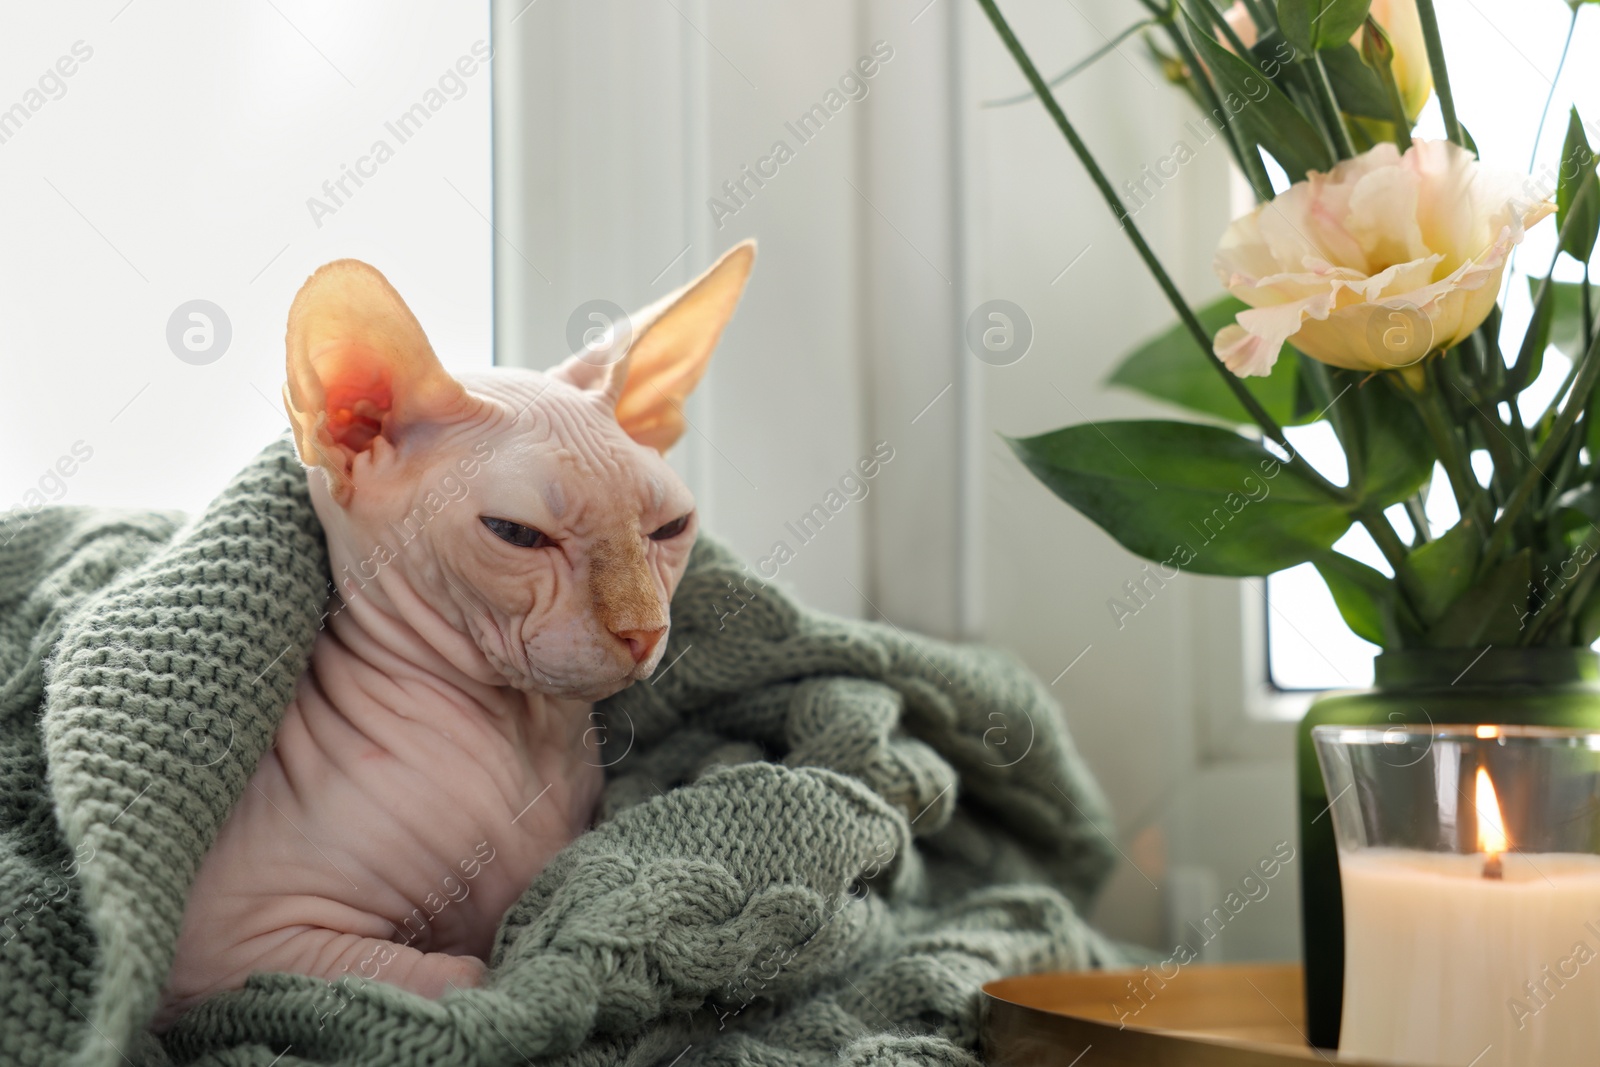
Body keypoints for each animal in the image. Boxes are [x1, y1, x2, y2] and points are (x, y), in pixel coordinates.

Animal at [159, 239, 758, 1023]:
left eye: (671, 528)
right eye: (516, 533)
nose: (644, 629)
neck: (523, 745)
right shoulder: (225, 947)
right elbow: (470, 974)